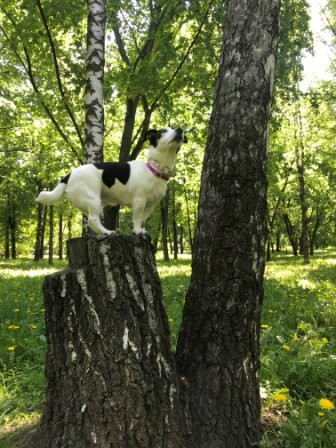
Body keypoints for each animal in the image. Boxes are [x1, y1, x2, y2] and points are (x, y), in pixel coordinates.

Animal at [37, 126, 189, 234]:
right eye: (162, 131)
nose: (180, 129)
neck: (155, 169)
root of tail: (69, 174)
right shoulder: (139, 200)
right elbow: (137, 218)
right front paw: (137, 231)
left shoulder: (151, 204)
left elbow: (142, 218)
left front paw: (140, 229)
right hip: (93, 199)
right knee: (93, 220)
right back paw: (107, 232)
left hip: (87, 203)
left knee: (90, 221)